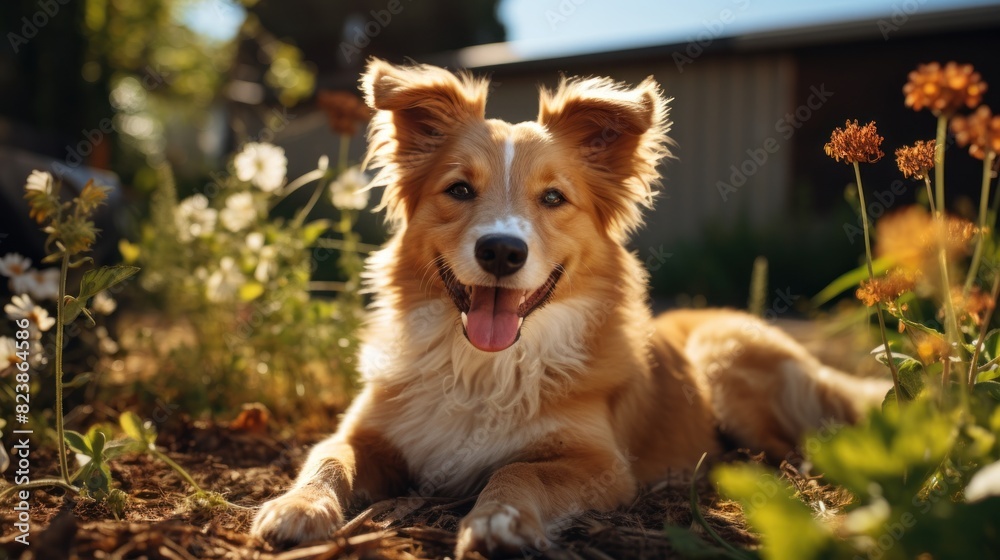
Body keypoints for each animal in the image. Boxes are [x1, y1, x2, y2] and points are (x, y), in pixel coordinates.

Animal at [248, 59, 884, 556]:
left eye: (553, 198)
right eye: (459, 190)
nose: (501, 250)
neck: (481, 365)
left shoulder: (600, 464)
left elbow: (517, 469)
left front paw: (498, 520)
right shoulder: (363, 431)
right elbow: (327, 459)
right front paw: (296, 507)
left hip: (724, 356)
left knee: (797, 444)